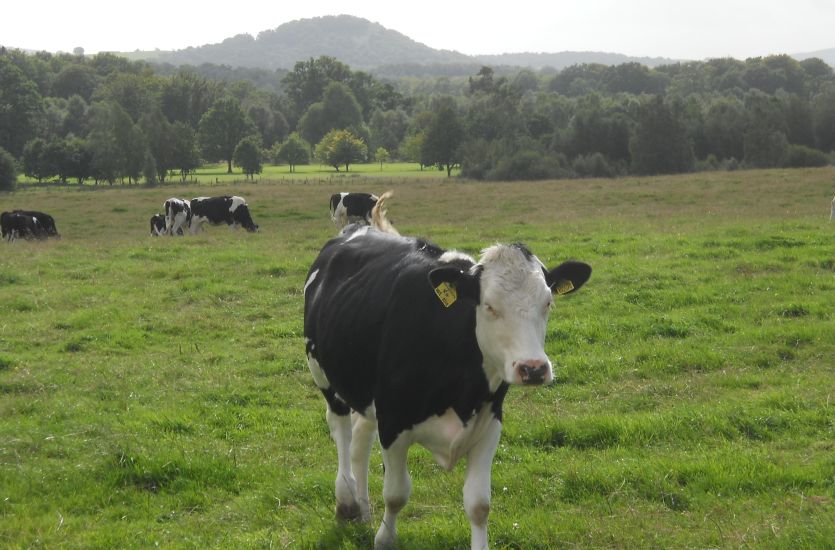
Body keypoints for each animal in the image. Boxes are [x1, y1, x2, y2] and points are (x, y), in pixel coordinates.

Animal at [304, 211, 592, 548]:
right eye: (489, 306)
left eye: (547, 303)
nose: (533, 368)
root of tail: (356, 230)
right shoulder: (393, 423)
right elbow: (396, 494)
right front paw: (385, 539)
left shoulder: (488, 424)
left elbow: (479, 505)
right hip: (324, 376)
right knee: (342, 431)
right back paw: (347, 502)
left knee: (360, 439)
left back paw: (362, 508)